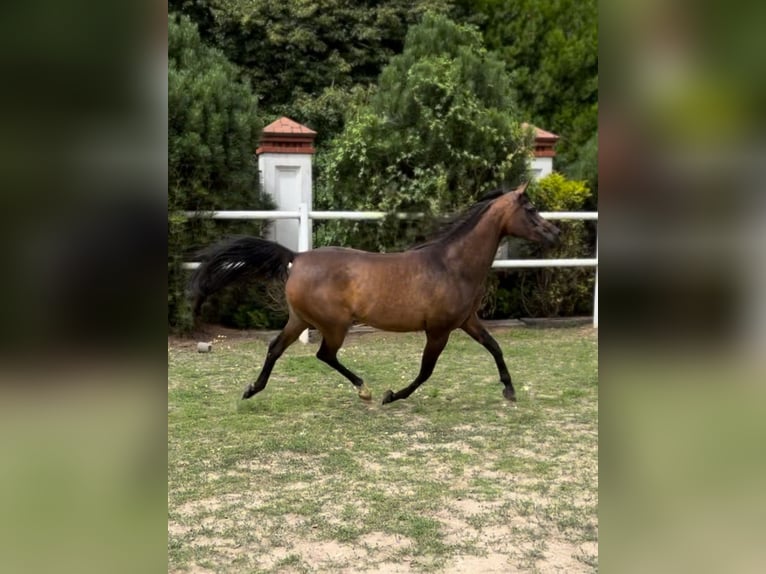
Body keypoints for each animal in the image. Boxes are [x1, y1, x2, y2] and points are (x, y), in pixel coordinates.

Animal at [190, 183, 564, 404]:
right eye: (531, 209)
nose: (555, 233)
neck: (451, 264)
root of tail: (297, 257)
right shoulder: (439, 330)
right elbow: (426, 371)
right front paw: (391, 395)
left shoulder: (466, 321)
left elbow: (495, 347)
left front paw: (509, 389)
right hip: (334, 325)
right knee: (324, 355)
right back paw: (365, 389)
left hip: (300, 320)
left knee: (276, 348)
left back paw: (252, 389)